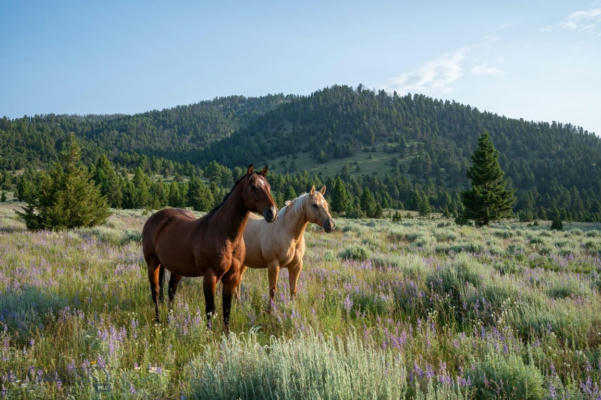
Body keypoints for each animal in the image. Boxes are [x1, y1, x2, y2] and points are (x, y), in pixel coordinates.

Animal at [143, 164, 276, 332]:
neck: (226, 236)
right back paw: (158, 322)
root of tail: (154, 218)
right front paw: (208, 334)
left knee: (171, 291)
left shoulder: (232, 277)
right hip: (152, 263)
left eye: (269, 186)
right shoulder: (210, 276)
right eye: (253, 187)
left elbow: (227, 308)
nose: (272, 212)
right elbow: (210, 309)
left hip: (176, 269)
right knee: (155, 291)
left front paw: (226, 336)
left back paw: (170, 321)